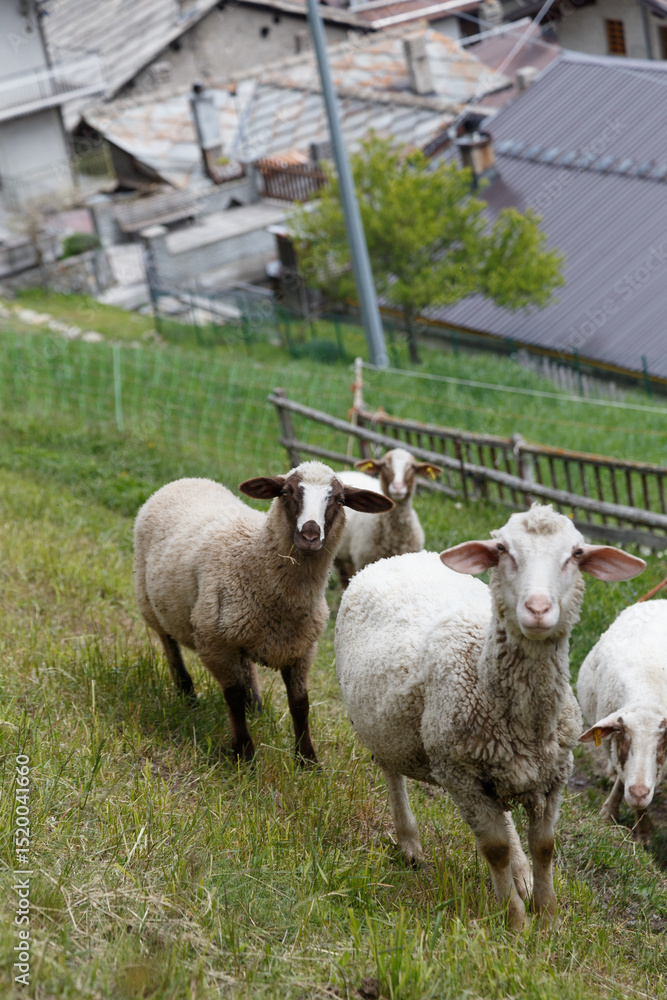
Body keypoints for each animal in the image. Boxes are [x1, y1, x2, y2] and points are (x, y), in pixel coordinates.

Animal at [134, 462, 392, 764]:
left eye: (339, 501)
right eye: (286, 492)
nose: (310, 535)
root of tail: (188, 480)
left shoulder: (302, 648)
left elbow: (300, 703)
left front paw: (307, 761)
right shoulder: (213, 643)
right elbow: (232, 696)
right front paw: (244, 755)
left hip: (239, 630)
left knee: (246, 665)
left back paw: (254, 705)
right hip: (151, 602)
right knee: (169, 644)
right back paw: (187, 694)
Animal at [333, 449, 442, 587]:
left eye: (413, 467)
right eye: (384, 465)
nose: (398, 488)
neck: (395, 537)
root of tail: (346, 472)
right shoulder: (365, 561)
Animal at [335, 504, 645, 930]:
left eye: (576, 554)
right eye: (502, 550)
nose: (537, 609)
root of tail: (399, 558)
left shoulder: (555, 774)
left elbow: (544, 845)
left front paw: (548, 918)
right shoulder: (460, 774)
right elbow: (494, 848)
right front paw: (515, 923)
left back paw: (523, 875)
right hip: (381, 730)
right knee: (391, 773)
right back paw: (410, 844)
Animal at [577, 600, 667, 845]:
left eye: (664, 739)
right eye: (619, 730)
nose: (638, 793)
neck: (648, 696)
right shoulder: (613, 746)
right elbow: (621, 778)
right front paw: (612, 814)